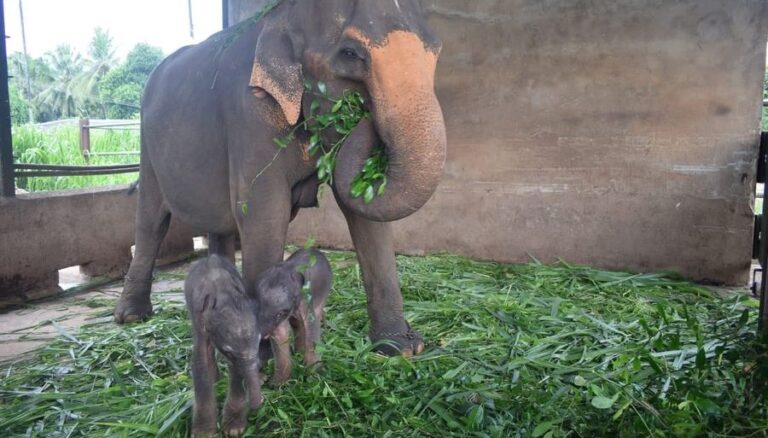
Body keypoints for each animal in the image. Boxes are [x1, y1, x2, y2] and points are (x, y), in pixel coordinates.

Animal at [113, 0, 447, 357]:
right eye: (350, 54)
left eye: (436, 50)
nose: (364, 115)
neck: (284, 16)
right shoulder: (251, 112)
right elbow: (265, 213)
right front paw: (263, 353)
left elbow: (365, 215)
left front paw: (402, 348)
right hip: (147, 148)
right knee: (151, 221)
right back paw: (132, 317)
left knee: (219, 227)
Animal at [255, 248, 332, 385]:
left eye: (280, 314)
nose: (262, 336)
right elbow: (280, 335)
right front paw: (276, 384)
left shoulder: (306, 298)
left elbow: (311, 326)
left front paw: (314, 374)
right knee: (297, 324)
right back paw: (299, 353)